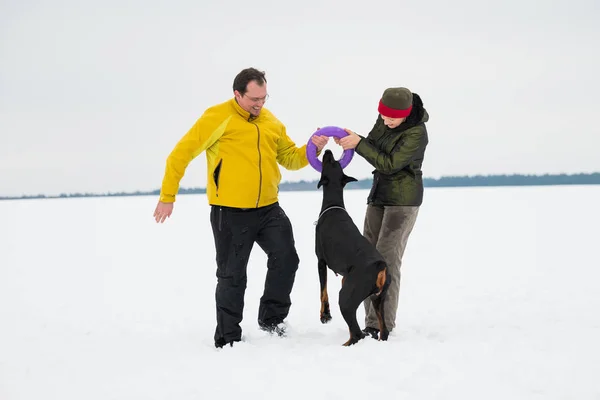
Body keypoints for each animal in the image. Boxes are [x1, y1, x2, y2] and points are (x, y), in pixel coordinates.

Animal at [312, 150, 392, 346]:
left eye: (331, 162)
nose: (327, 151)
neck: (333, 206)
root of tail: (380, 266)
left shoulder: (320, 260)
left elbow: (323, 290)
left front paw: (325, 315)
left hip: (347, 298)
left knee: (357, 333)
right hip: (379, 298)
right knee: (383, 331)